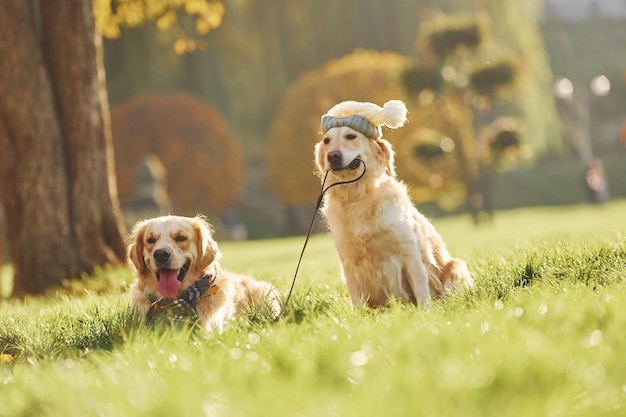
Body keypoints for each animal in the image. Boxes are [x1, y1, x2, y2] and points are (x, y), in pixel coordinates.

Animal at [314, 100, 470, 308]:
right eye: (326, 141)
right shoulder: (350, 263)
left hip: (456, 267)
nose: (332, 155)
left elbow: (422, 295)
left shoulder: (410, 256)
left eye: (351, 136)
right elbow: (358, 303)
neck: (358, 195)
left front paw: (426, 313)